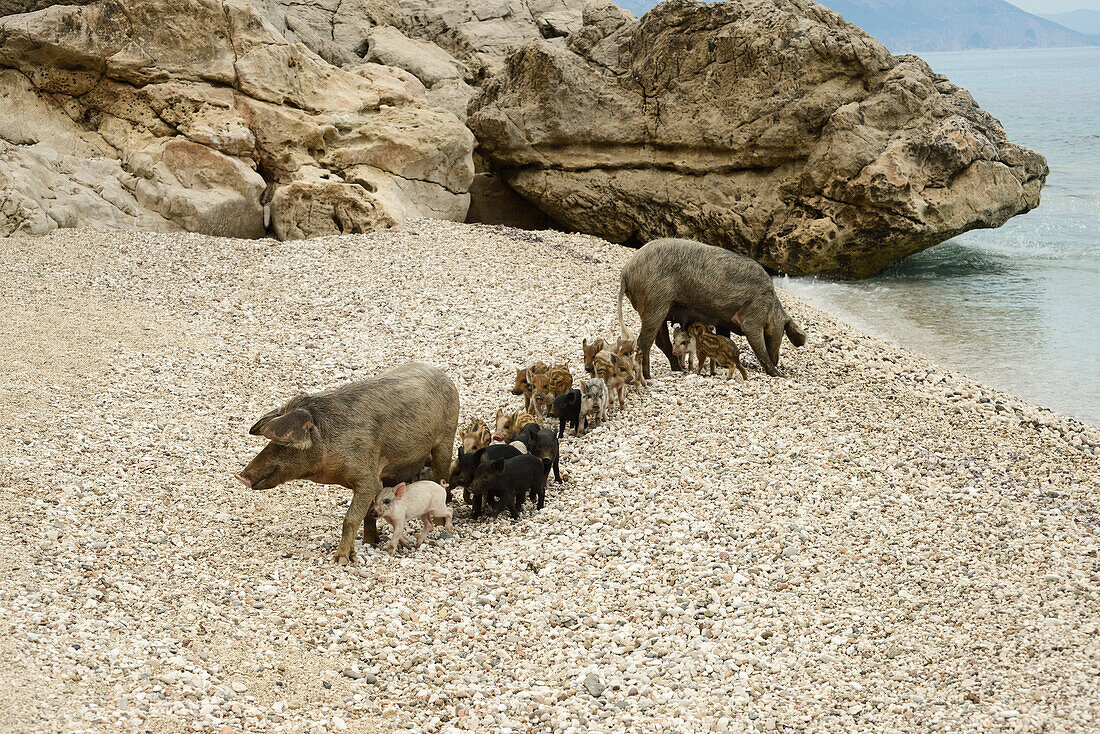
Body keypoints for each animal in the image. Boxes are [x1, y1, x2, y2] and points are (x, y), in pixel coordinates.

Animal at [236, 365, 459, 567]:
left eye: (284, 444)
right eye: (270, 443)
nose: (241, 476)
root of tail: (444, 375)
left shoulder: (367, 477)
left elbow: (351, 518)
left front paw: (341, 560)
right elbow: (365, 514)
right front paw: (368, 544)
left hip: (447, 437)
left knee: (442, 478)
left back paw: (441, 527)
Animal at [620, 239, 809, 378]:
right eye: (782, 333)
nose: (777, 361)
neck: (771, 306)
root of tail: (626, 271)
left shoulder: (724, 320)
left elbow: (725, 336)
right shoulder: (752, 317)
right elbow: (758, 344)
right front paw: (780, 375)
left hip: (655, 307)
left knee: (661, 341)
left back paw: (679, 369)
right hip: (656, 302)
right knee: (644, 342)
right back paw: (648, 376)